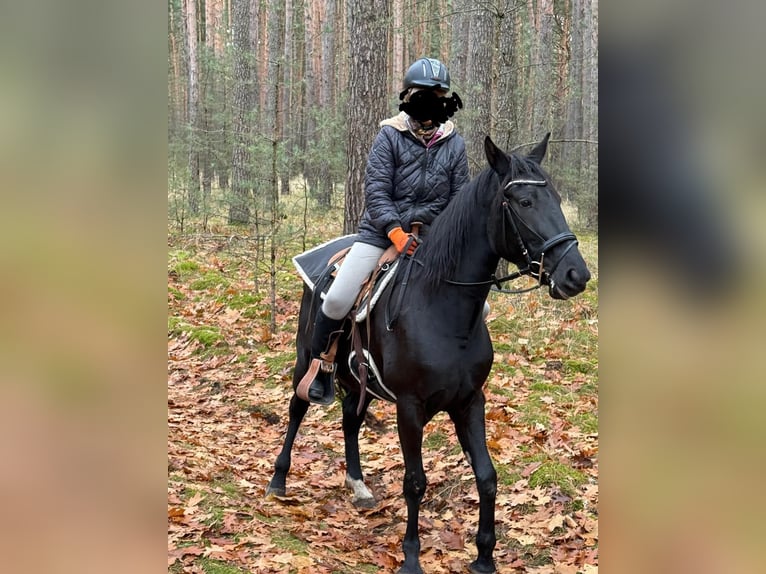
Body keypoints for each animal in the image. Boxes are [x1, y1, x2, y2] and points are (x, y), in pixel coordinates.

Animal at [266, 134, 591, 574]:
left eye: (556, 198)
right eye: (524, 202)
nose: (577, 275)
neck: (443, 309)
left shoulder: (469, 401)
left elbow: (487, 476)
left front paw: (484, 556)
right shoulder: (410, 406)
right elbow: (415, 481)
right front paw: (411, 556)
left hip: (360, 380)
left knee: (351, 419)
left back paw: (359, 485)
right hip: (308, 358)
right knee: (297, 407)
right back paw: (279, 480)